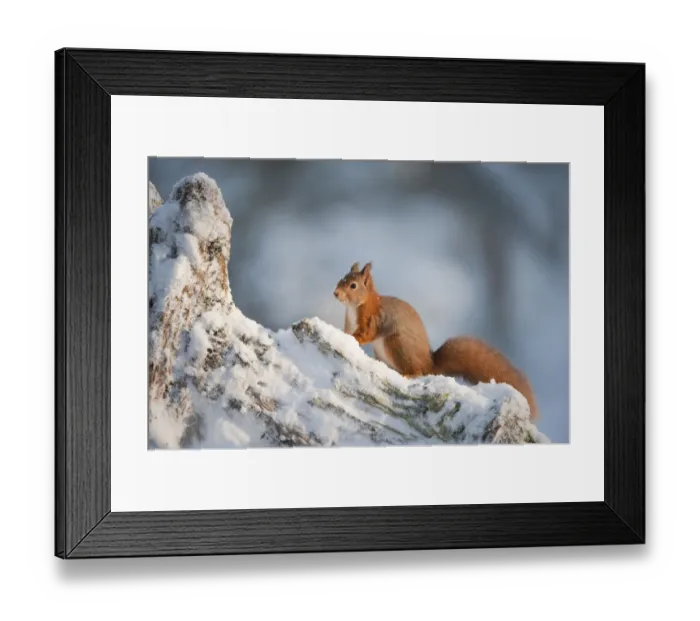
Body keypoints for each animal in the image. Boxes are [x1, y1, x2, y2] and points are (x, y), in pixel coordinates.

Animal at [333, 261, 538, 420]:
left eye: (353, 285)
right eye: (342, 278)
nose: (335, 293)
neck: (354, 307)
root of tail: (429, 364)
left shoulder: (373, 320)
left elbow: (365, 335)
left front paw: (352, 338)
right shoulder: (349, 323)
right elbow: (346, 331)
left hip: (397, 345)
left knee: (417, 372)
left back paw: (409, 375)